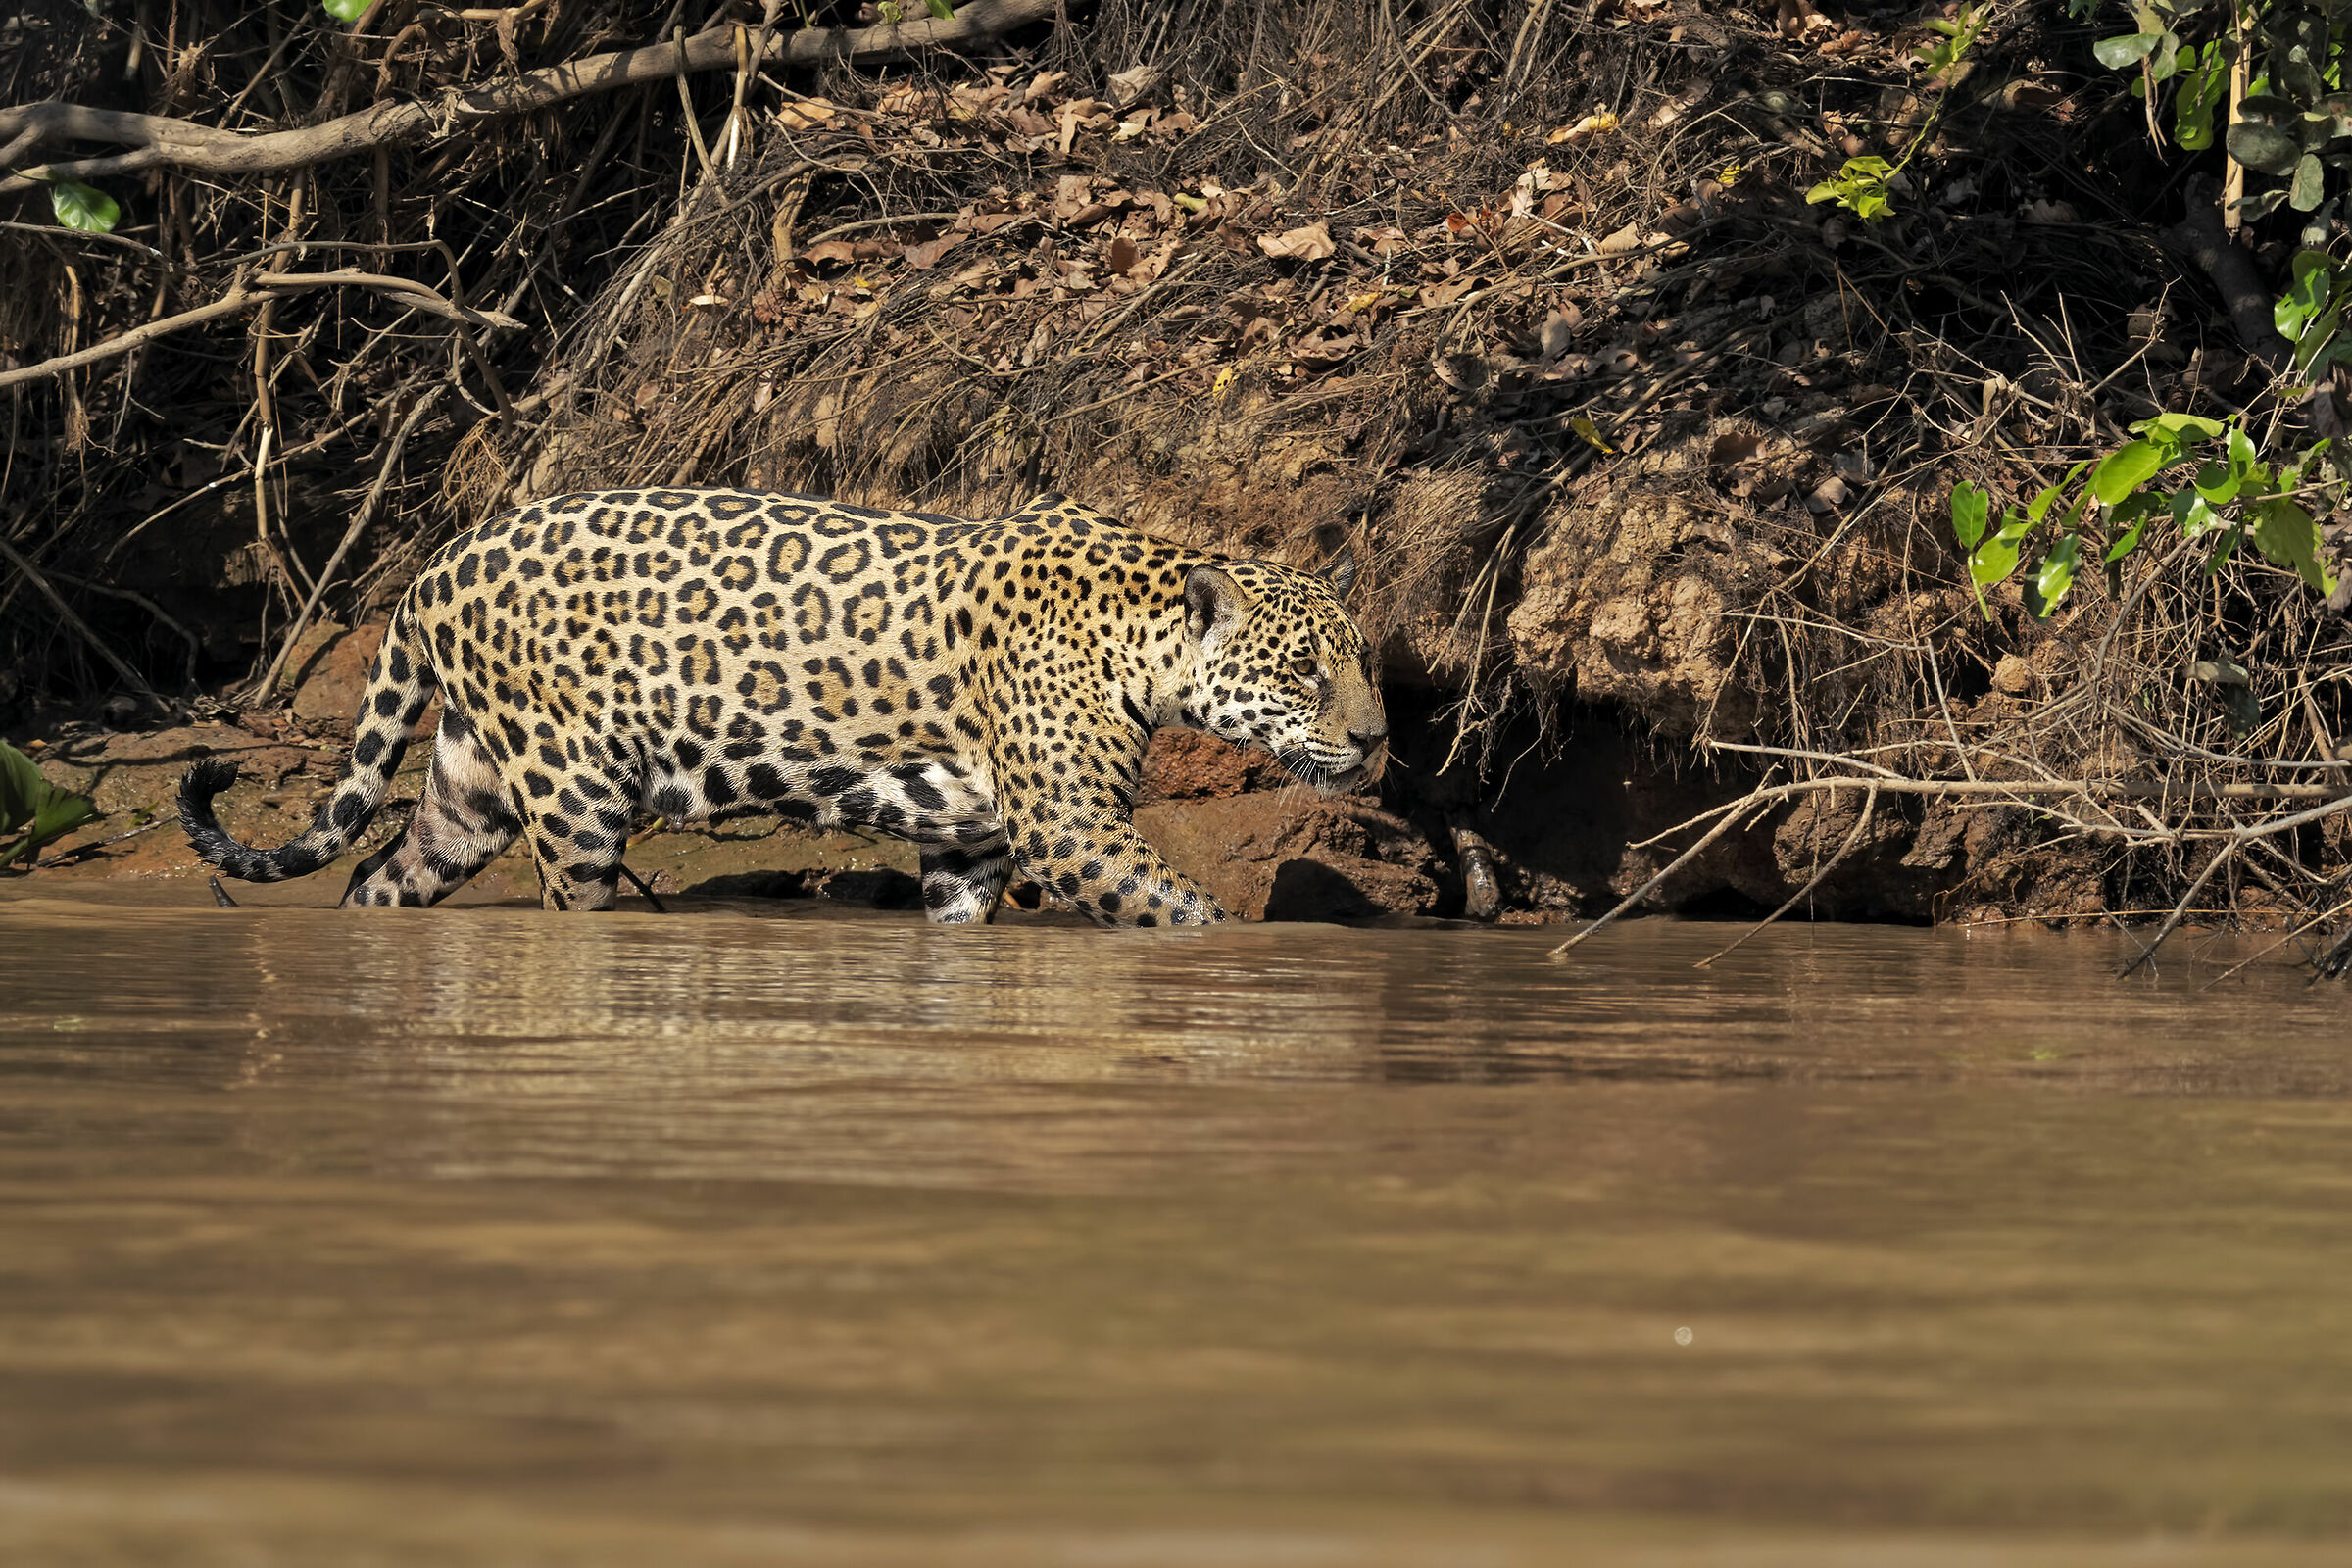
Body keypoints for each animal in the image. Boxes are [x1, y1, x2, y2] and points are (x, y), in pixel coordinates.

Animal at [179, 488, 1386, 926]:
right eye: (1305, 672)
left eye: (1362, 663)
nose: (1377, 736)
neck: (1140, 634)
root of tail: (435, 564)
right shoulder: (1071, 827)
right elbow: (1186, 914)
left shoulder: (972, 844)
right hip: (574, 796)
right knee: (569, 902)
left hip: (468, 789)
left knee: (381, 878)